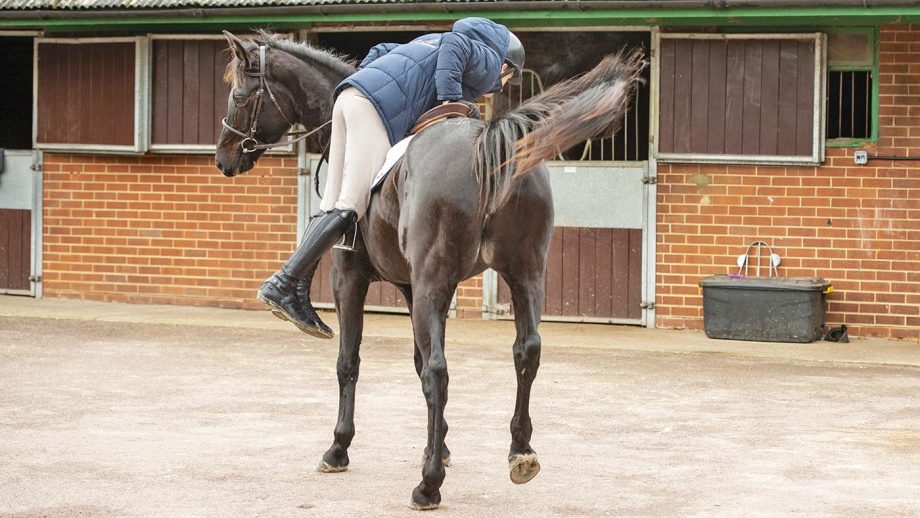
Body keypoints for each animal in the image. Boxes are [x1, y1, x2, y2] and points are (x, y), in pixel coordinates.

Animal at [215, 31, 643, 510]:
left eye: (239, 95)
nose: (224, 158)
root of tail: (489, 144)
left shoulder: (352, 278)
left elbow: (351, 362)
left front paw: (339, 448)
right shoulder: (411, 285)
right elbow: (417, 363)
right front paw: (439, 443)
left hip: (434, 283)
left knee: (439, 371)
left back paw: (428, 485)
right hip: (524, 273)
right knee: (525, 351)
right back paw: (520, 453)